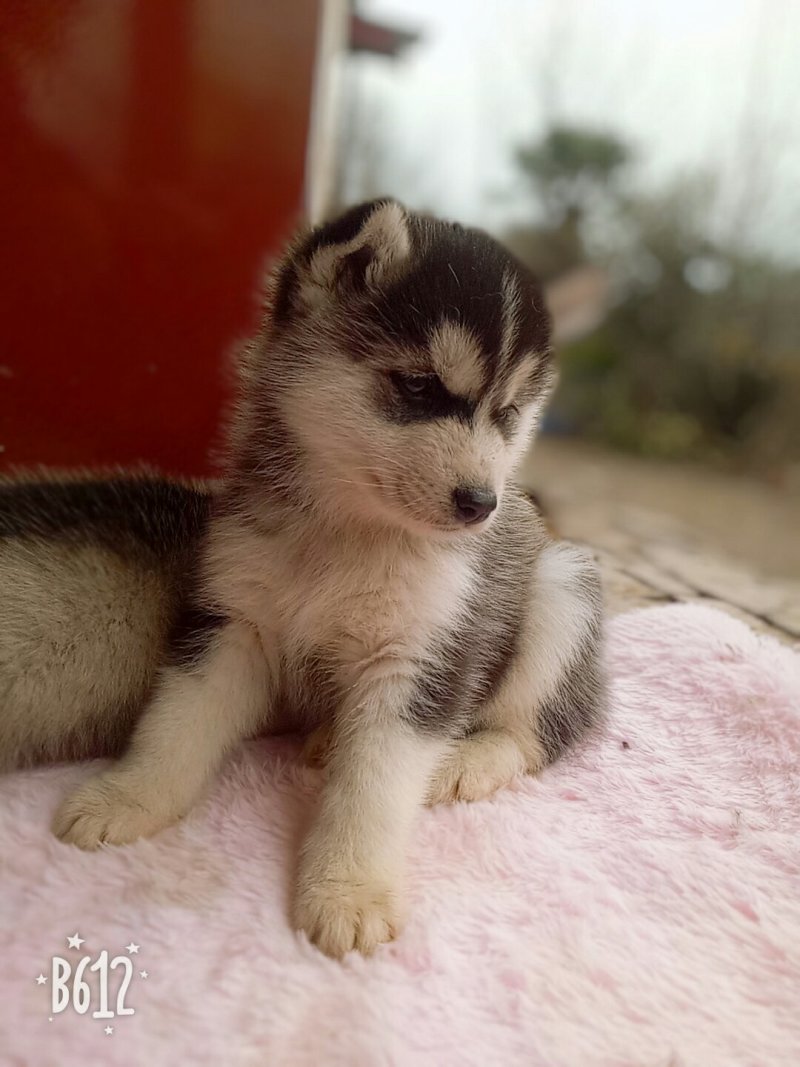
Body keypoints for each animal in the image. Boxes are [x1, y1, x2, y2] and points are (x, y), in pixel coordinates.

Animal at [0, 200, 605, 960]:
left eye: (508, 415)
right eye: (418, 386)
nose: (480, 504)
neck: (347, 535)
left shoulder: (422, 658)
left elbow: (376, 787)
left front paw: (350, 889)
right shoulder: (233, 620)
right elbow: (176, 724)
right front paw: (130, 796)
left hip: (561, 584)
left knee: (537, 731)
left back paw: (467, 759)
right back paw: (327, 740)